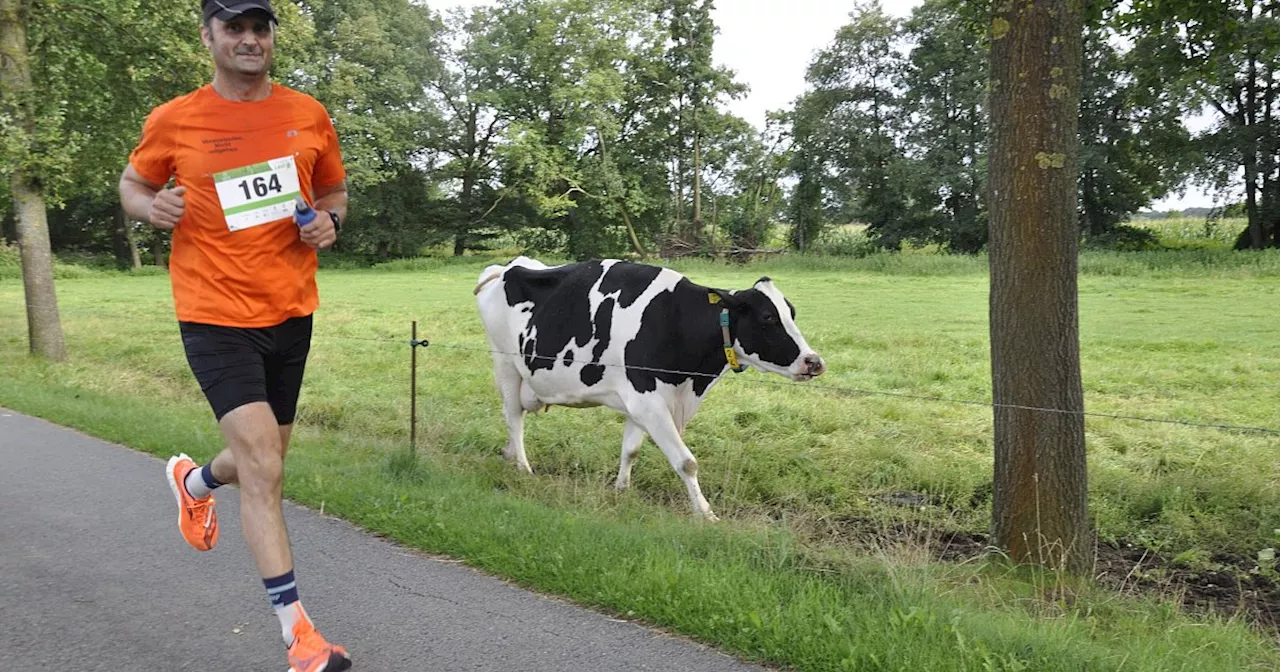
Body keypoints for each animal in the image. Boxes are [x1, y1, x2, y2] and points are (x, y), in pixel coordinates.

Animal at [476, 257, 824, 519]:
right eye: (767, 317)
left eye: (791, 313)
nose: (814, 361)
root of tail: (505, 268)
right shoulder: (648, 400)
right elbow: (686, 461)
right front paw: (706, 514)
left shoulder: (642, 404)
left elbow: (630, 450)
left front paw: (621, 491)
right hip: (505, 365)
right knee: (514, 418)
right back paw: (523, 467)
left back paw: (509, 455)